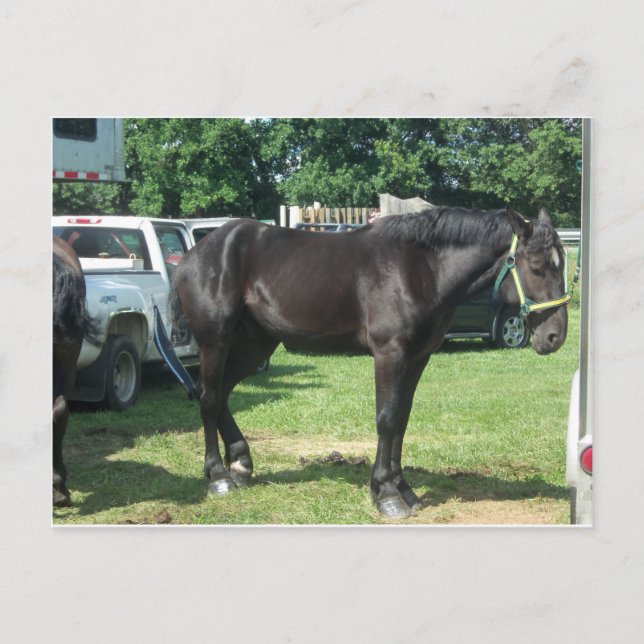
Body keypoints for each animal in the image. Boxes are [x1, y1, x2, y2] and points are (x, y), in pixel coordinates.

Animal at [170, 205, 570, 518]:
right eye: (536, 267)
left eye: (562, 264)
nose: (555, 337)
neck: (420, 268)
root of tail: (195, 254)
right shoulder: (389, 354)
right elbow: (387, 419)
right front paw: (386, 494)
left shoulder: (417, 358)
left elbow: (402, 420)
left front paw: (402, 488)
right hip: (215, 341)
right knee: (209, 397)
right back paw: (219, 476)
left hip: (256, 345)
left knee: (220, 392)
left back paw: (240, 464)